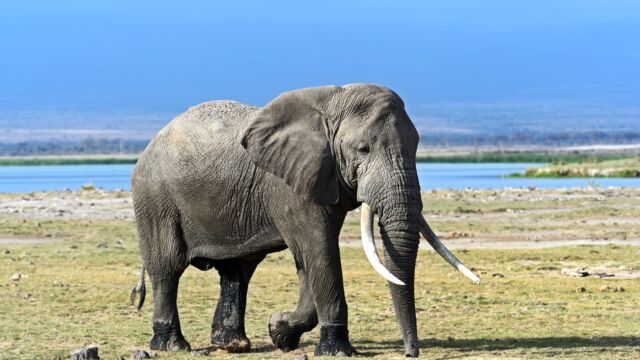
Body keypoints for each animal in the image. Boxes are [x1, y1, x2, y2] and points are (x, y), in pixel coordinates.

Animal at [131, 84, 480, 358]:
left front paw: (279, 331)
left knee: (237, 270)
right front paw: (335, 350)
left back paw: (233, 345)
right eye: (363, 149)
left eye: (416, 147)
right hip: (155, 198)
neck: (333, 102)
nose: (411, 352)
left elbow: (308, 260)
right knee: (167, 268)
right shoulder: (290, 184)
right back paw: (172, 346)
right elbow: (318, 250)